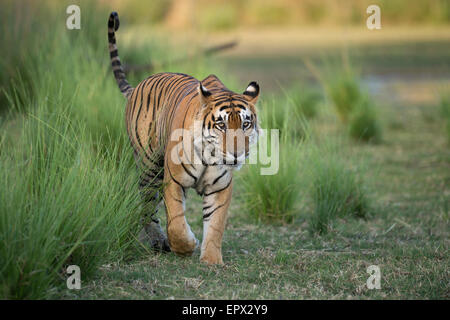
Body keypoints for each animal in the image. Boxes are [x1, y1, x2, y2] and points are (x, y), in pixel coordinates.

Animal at [108, 11, 260, 264]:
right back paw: (159, 241)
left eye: (245, 124)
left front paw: (211, 260)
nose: (237, 155)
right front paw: (186, 246)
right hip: (150, 167)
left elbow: (215, 225)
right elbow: (176, 223)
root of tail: (137, 85)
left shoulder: (220, 188)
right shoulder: (173, 181)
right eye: (221, 125)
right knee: (147, 206)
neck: (210, 156)